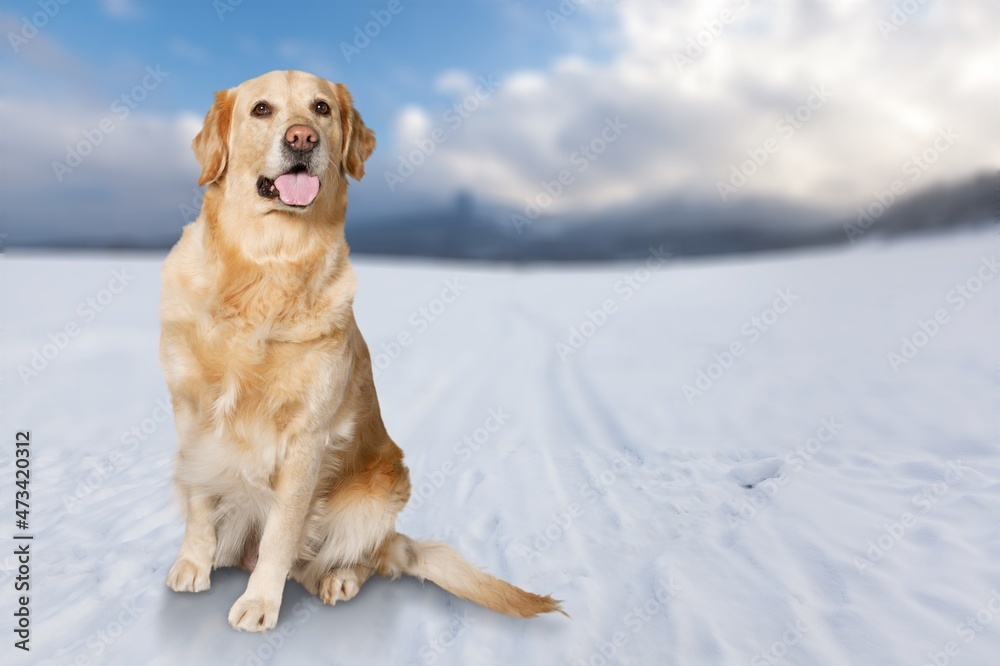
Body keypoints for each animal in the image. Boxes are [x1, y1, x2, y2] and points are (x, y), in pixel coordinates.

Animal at [159, 70, 560, 632]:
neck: (266, 267)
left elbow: (282, 531)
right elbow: (199, 501)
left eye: (321, 108)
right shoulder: (191, 415)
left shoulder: (306, 438)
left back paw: (339, 577)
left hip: (381, 490)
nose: (302, 138)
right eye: (261, 109)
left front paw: (259, 602)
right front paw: (192, 564)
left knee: (362, 557)